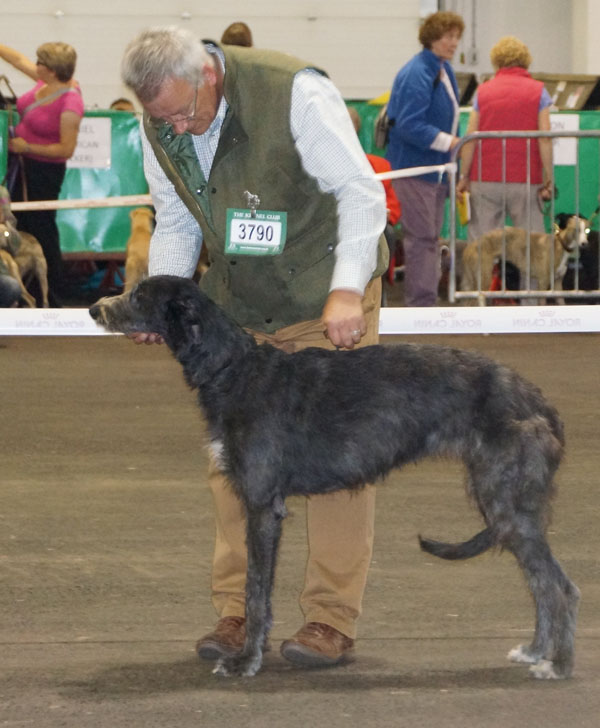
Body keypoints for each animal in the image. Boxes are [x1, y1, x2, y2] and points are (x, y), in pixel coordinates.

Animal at [91, 278, 580, 684]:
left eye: (140, 295)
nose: (95, 309)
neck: (234, 370)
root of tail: (539, 402)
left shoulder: (262, 504)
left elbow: (255, 592)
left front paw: (245, 661)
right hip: (505, 504)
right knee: (540, 582)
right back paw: (536, 650)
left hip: (506, 498)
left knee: (560, 587)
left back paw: (558, 664)